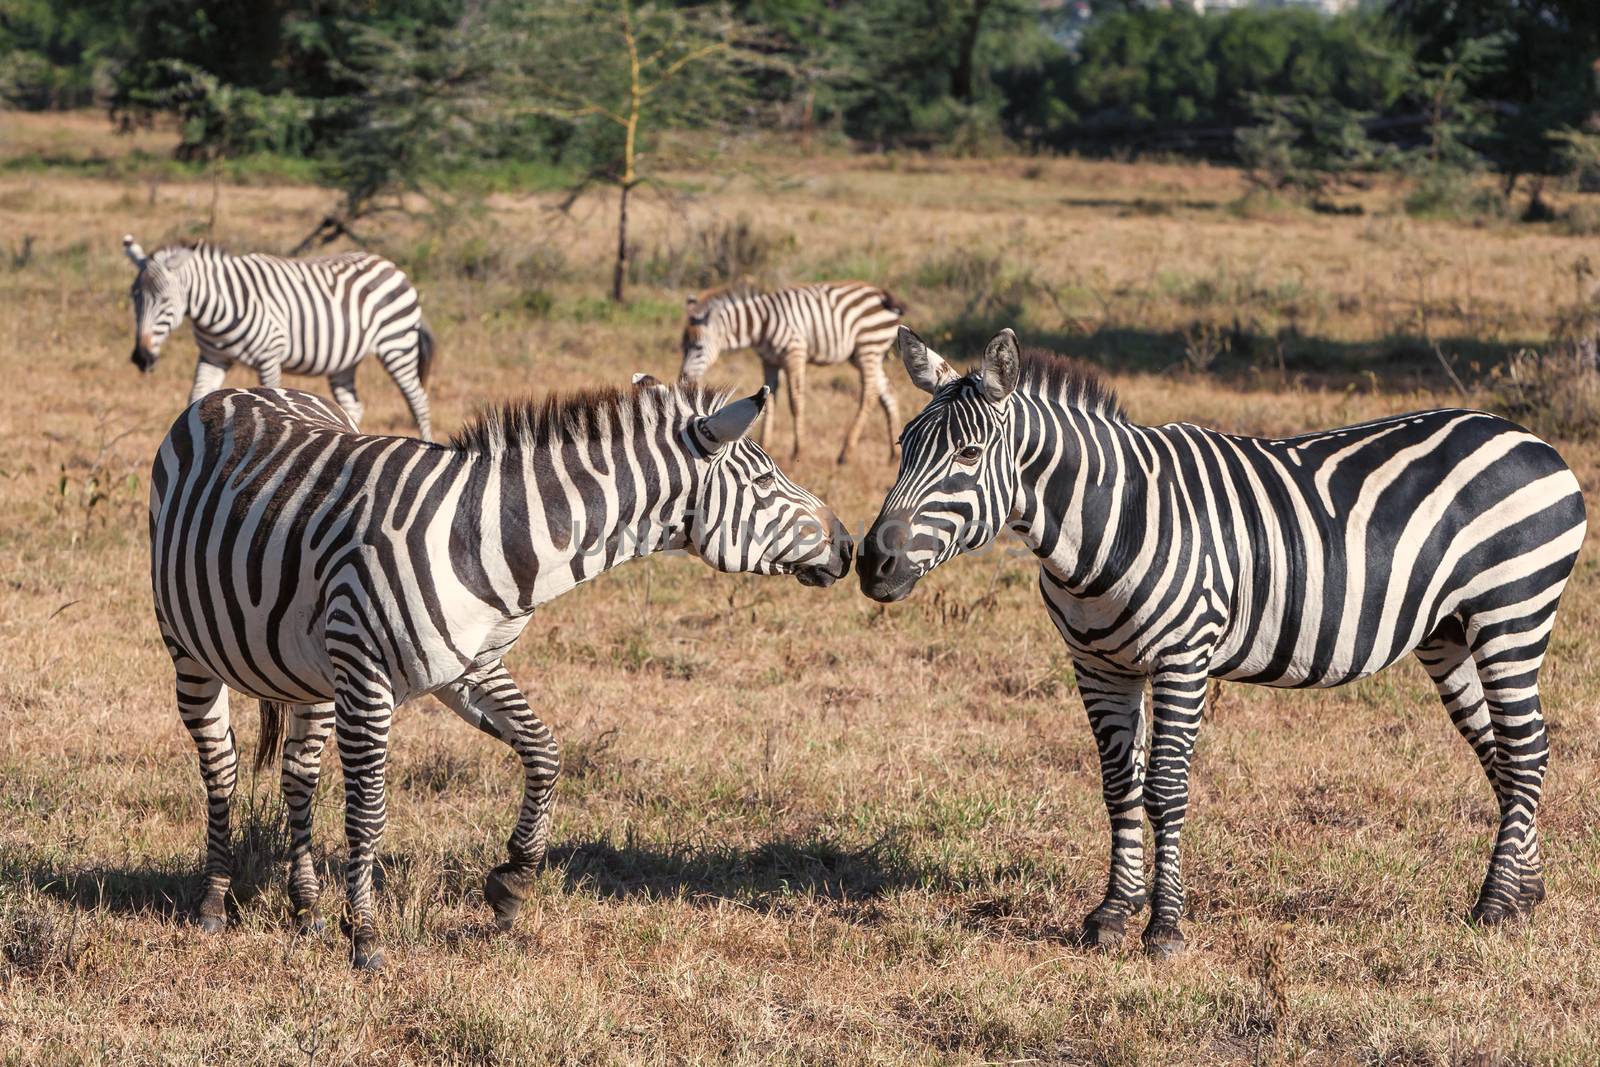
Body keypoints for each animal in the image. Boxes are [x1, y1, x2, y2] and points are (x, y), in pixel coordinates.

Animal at [121, 235, 441, 441]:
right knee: (354, 405)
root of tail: (391, 265)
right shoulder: (213, 357)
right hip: (345, 361)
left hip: (397, 344)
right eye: (134, 297)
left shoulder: (269, 356)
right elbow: (196, 396)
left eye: (164, 300)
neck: (218, 306)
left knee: (418, 400)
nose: (141, 357)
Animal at [150, 379, 851, 972]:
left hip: (313, 670)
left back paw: (305, 908)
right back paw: (214, 902)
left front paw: (512, 880)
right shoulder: (367, 676)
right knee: (221, 766)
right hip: (191, 649)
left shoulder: (470, 668)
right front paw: (367, 937)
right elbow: (368, 812)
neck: (493, 541)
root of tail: (240, 391)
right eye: (766, 481)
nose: (847, 546)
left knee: (298, 774)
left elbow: (545, 750)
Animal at [675, 281, 908, 463]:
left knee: (869, 394)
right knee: (888, 391)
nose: (683, 380)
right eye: (682, 346)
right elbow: (769, 401)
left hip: (868, 348)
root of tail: (881, 292)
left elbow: (795, 400)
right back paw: (894, 454)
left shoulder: (794, 353)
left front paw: (798, 451)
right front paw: (764, 445)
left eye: (698, 347)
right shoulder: (769, 362)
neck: (762, 325)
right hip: (863, 354)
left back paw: (846, 453)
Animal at [857, 326, 1580, 959]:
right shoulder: (1098, 665)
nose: (872, 563)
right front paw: (1111, 914)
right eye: (902, 445)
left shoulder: (1183, 658)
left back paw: (1494, 904)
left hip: (1512, 613)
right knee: (1502, 752)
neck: (1109, 521)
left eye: (968, 456)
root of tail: (1532, 440)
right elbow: (1119, 786)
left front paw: (1164, 928)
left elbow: (1165, 790)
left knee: (1527, 749)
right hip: (1448, 633)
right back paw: (1526, 892)